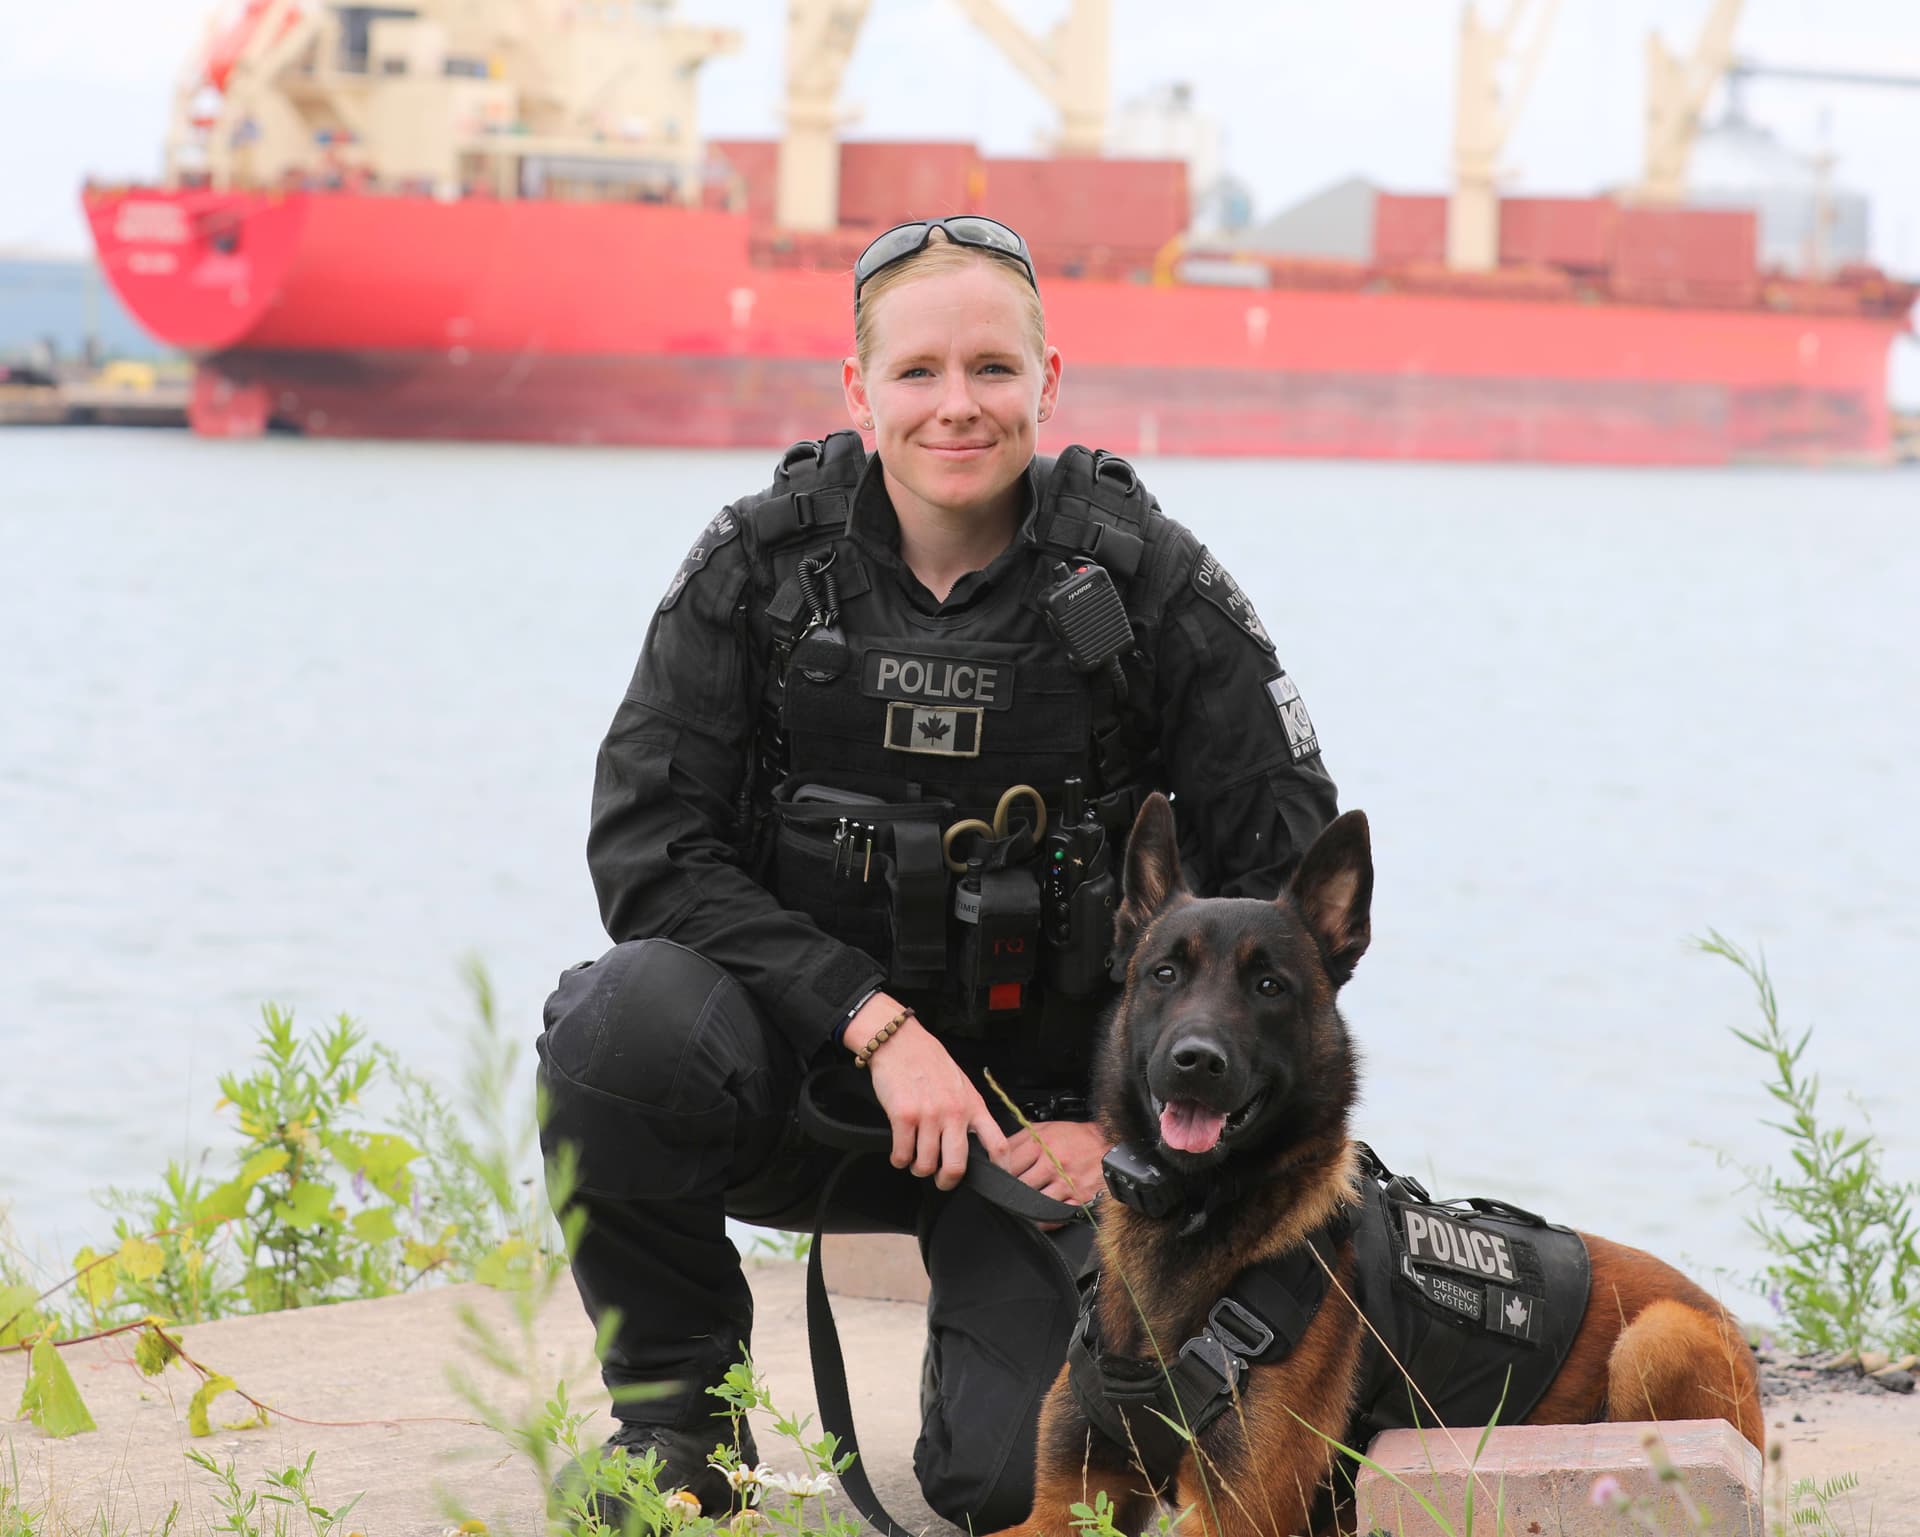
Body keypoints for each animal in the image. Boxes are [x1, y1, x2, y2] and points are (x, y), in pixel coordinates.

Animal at [998, 790, 1758, 1535]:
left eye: (1269, 986)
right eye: (1164, 974)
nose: (1196, 1061)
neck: (1193, 1216)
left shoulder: (1234, 1516)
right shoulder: (1060, 1503)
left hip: (1657, 1338)